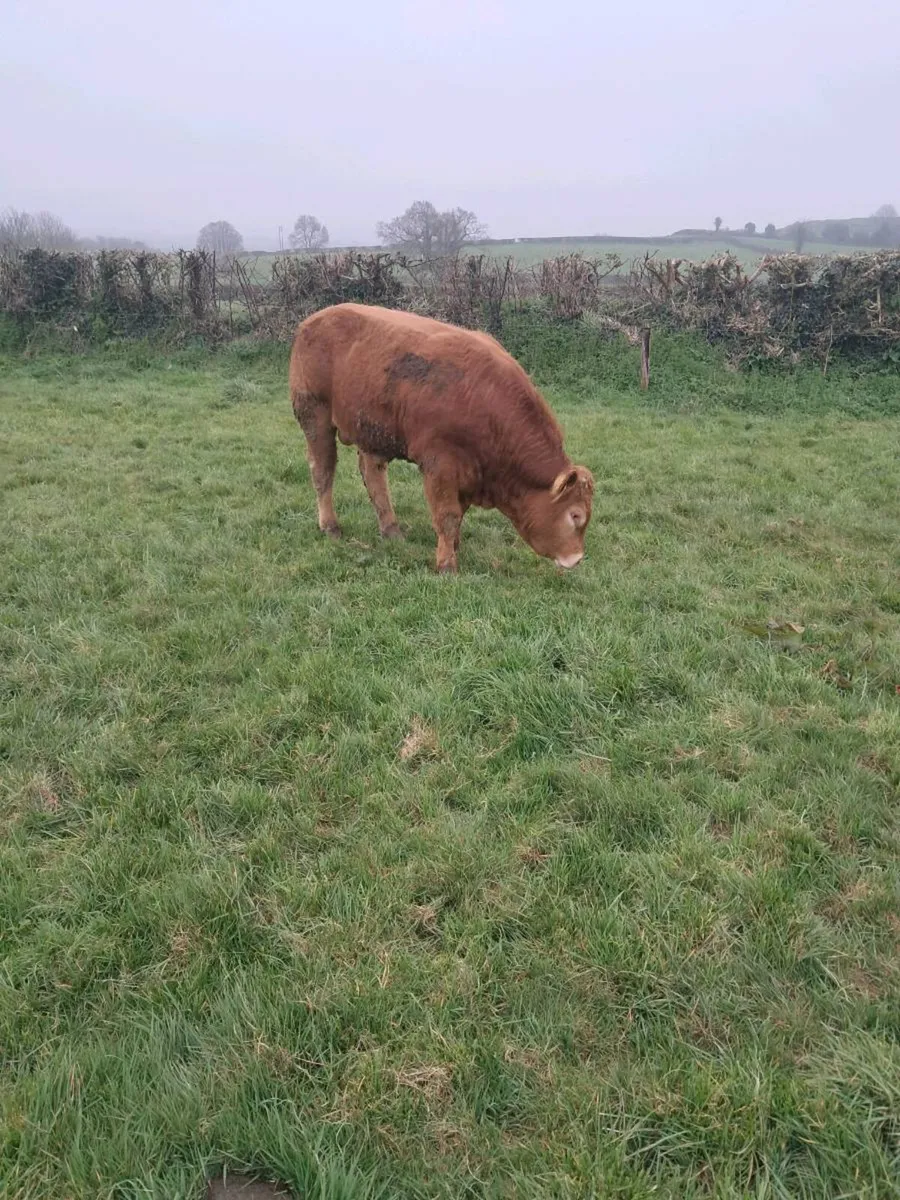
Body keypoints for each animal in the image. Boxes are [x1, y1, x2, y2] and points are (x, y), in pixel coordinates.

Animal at [289, 303, 593, 573]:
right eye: (575, 515)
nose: (577, 559)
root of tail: (313, 320)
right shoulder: (440, 466)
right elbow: (447, 516)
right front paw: (447, 564)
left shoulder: (469, 473)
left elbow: (458, 515)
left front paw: (453, 547)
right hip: (314, 416)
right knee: (323, 471)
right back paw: (331, 526)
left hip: (371, 431)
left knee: (373, 477)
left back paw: (391, 529)